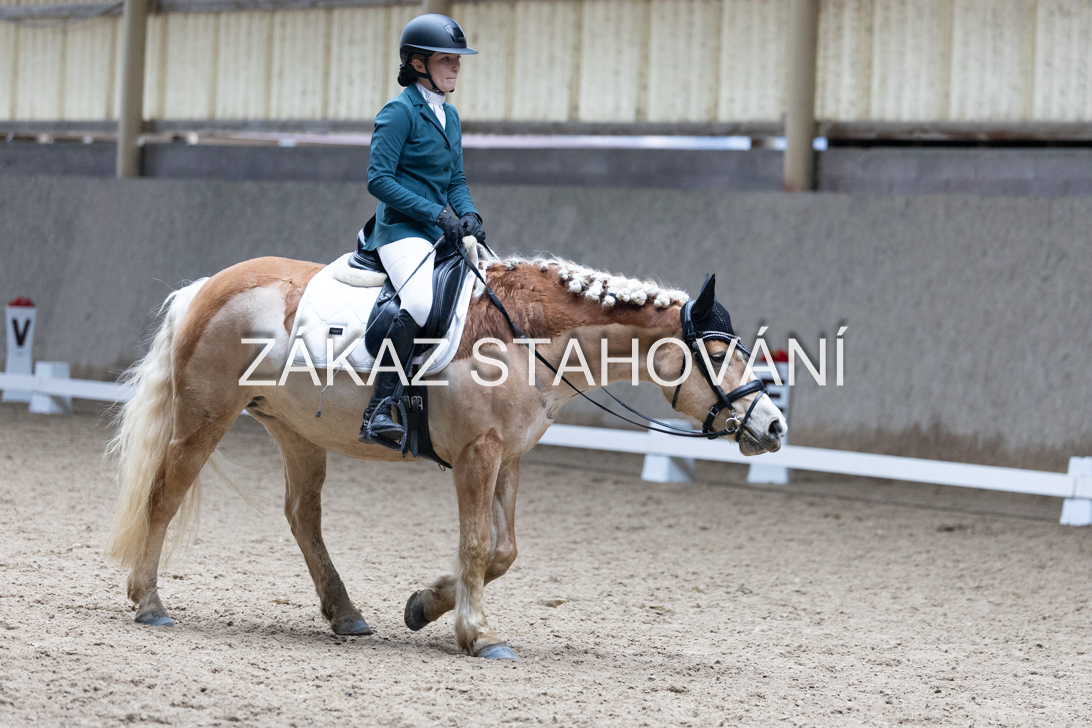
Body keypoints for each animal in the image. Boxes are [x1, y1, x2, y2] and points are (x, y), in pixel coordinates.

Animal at [107, 250, 787, 660]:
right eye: (719, 353)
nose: (774, 425)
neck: (530, 337)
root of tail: (208, 286)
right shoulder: (477, 455)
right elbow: (477, 546)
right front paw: (478, 635)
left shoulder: (509, 457)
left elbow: (504, 551)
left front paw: (423, 606)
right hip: (206, 418)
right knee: (164, 495)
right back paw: (151, 604)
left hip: (295, 432)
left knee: (303, 516)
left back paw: (346, 615)